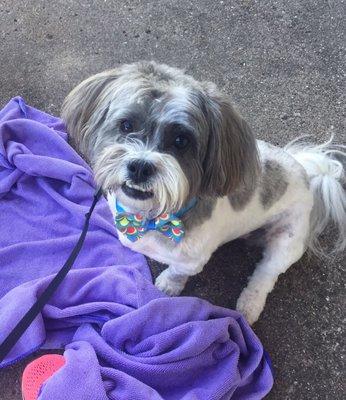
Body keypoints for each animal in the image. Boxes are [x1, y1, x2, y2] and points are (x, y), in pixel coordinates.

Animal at [60, 61, 344, 324]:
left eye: (181, 141)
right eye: (126, 125)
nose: (140, 166)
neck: (152, 217)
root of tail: (306, 171)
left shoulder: (192, 260)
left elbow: (177, 272)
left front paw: (167, 285)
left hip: (287, 239)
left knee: (266, 274)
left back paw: (249, 304)